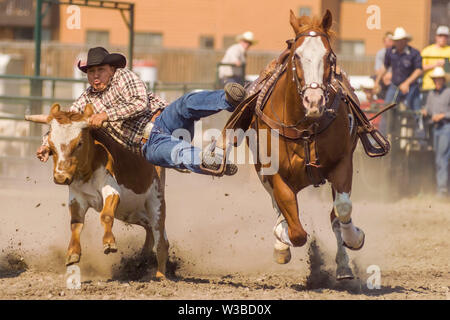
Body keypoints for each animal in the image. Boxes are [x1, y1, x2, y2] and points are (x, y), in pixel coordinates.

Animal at [251, 10, 368, 280]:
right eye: (297, 55)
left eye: (330, 56)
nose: (313, 101)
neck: (305, 125)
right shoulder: (275, 174)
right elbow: (296, 232)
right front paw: (281, 238)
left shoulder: (342, 162)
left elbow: (342, 210)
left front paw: (354, 238)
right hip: (262, 172)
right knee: (278, 207)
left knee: (335, 216)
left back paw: (344, 265)